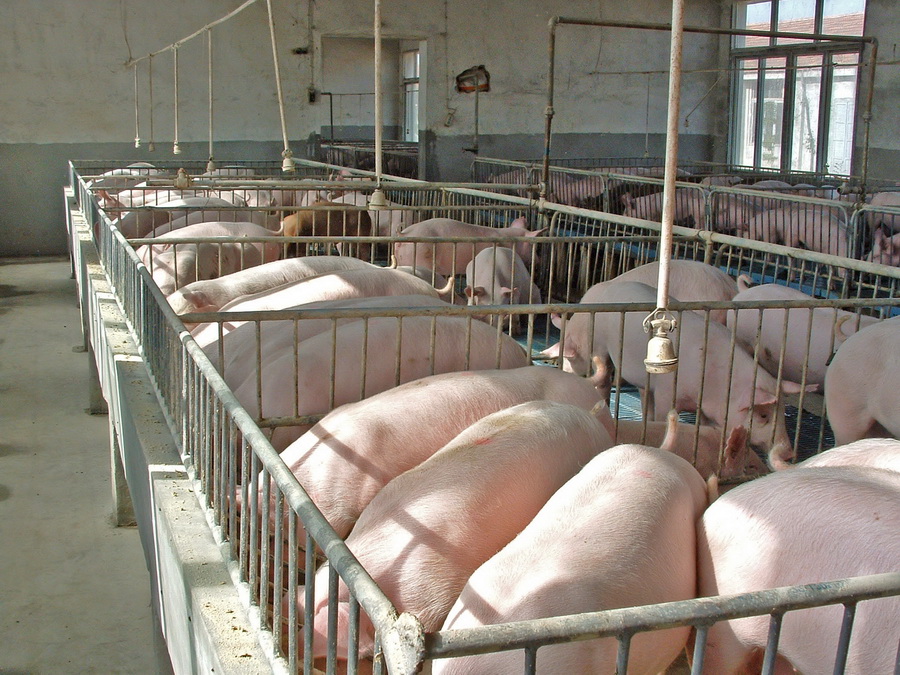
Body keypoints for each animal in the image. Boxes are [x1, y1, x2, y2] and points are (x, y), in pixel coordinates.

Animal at [544, 281, 812, 469]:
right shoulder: (666, 390)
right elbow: (664, 413)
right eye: (764, 415)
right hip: (601, 345)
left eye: (783, 412)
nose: (790, 452)